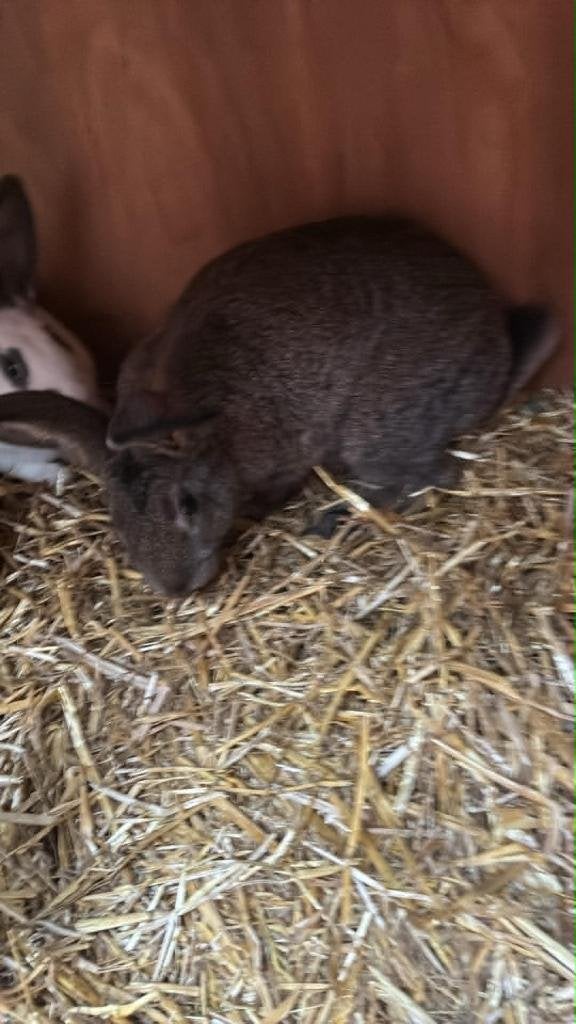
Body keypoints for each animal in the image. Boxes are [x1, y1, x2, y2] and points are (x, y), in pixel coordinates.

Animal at [0, 215, 558, 596]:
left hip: (375, 430)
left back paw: (333, 517)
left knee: (430, 475)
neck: (215, 437)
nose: (175, 590)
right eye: (115, 517)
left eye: (187, 505)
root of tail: (498, 356)